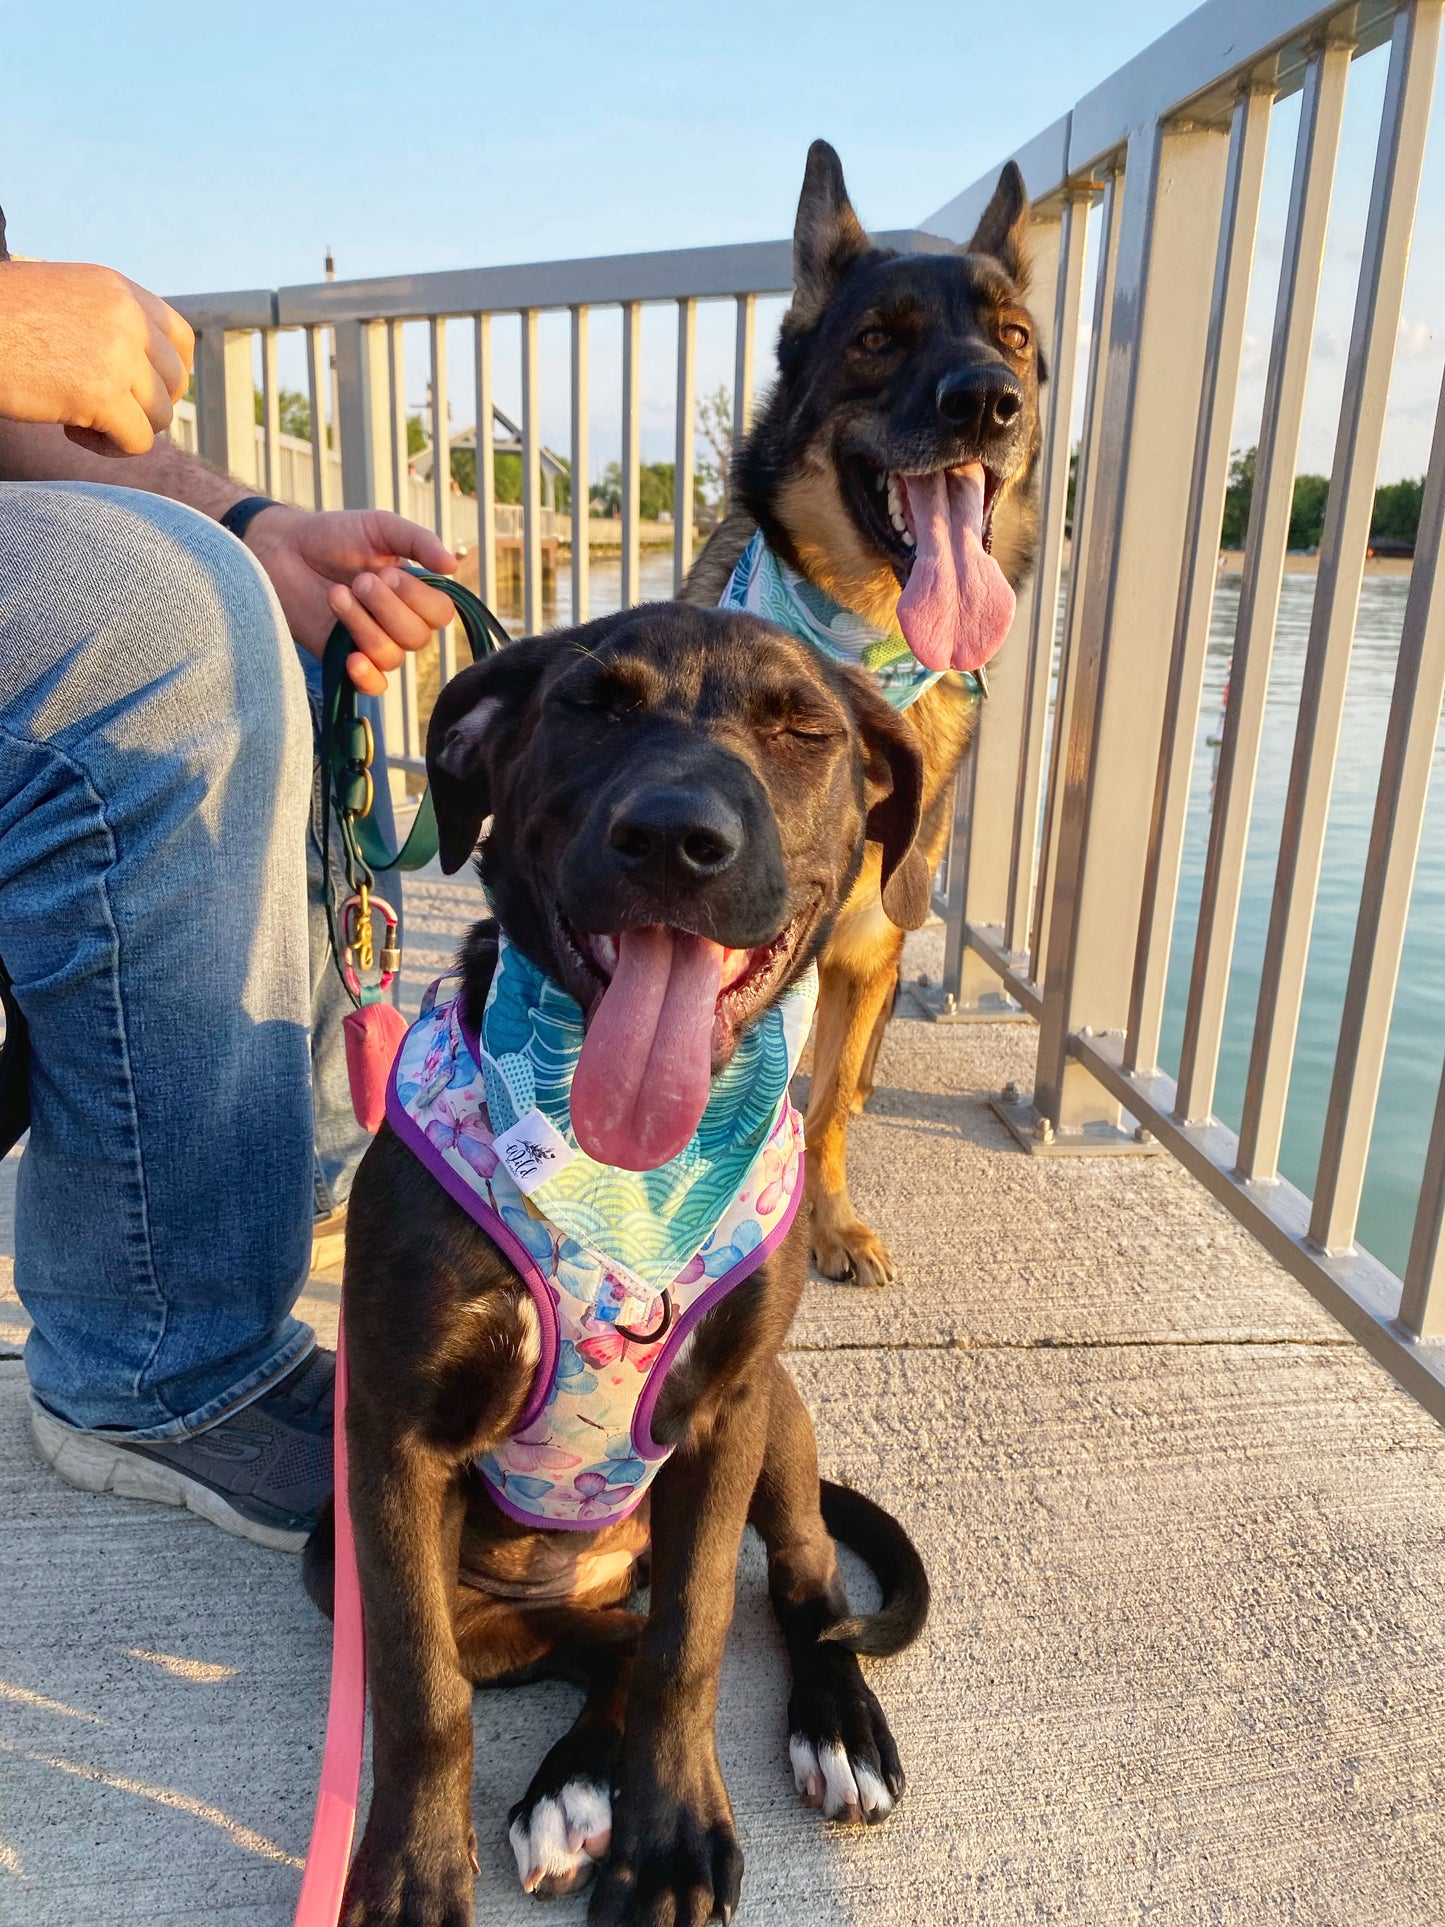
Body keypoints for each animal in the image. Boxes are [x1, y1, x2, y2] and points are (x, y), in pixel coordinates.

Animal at [312, 608, 932, 1927]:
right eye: (591, 706)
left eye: (801, 728)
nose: (673, 840)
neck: (629, 1190)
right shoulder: (388, 1441)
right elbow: (420, 1688)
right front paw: (410, 1871)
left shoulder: (723, 1414)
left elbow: (692, 1638)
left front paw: (670, 1839)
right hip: (364, 1563)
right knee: (595, 1643)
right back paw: (571, 1787)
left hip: (778, 1415)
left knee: (790, 1585)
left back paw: (831, 1725)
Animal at [693, 131, 1048, 1279]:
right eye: (877, 339)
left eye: (1015, 338)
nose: (987, 400)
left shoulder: (863, 952)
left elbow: (829, 1107)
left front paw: (829, 1221)